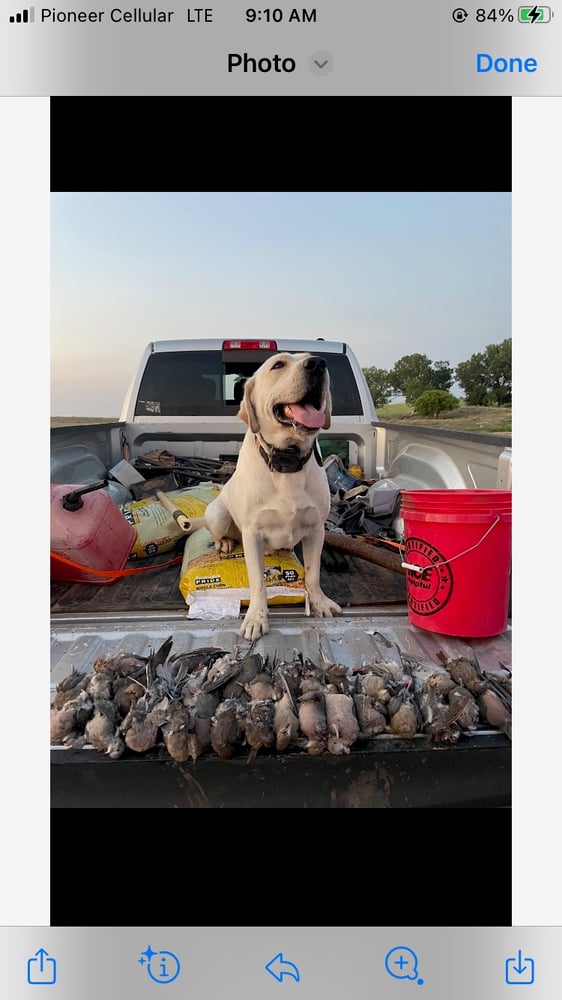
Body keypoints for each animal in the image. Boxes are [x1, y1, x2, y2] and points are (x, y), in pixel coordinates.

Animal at [203, 352, 340, 640]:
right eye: (278, 365)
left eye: (317, 361)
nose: (318, 363)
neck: (287, 460)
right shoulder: (252, 533)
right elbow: (257, 582)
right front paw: (257, 617)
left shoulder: (316, 529)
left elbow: (313, 574)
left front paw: (319, 602)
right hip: (218, 514)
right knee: (221, 533)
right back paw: (225, 543)